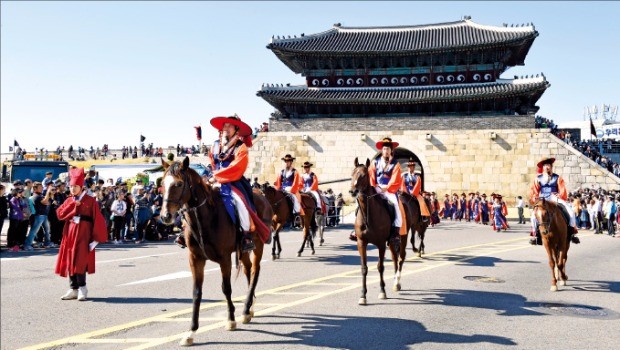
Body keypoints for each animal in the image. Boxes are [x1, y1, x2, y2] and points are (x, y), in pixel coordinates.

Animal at [160, 158, 274, 344]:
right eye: (162, 183)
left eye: (179, 183)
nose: (165, 216)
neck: (205, 218)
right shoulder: (195, 259)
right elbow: (196, 293)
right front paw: (191, 332)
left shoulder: (225, 259)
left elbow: (226, 288)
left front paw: (231, 320)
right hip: (243, 250)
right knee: (248, 270)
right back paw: (249, 307)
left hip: (258, 245)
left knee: (255, 271)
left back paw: (246, 309)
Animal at [348, 157, 398, 304]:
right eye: (352, 174)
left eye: (364, 175)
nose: (353, 191)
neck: (368, 213)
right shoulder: (361, 242)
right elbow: (364, 268)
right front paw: (363, 295)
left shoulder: (381, 244)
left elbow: (380, 266)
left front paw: (382, 291)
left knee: (396, 258)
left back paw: (396, 283)